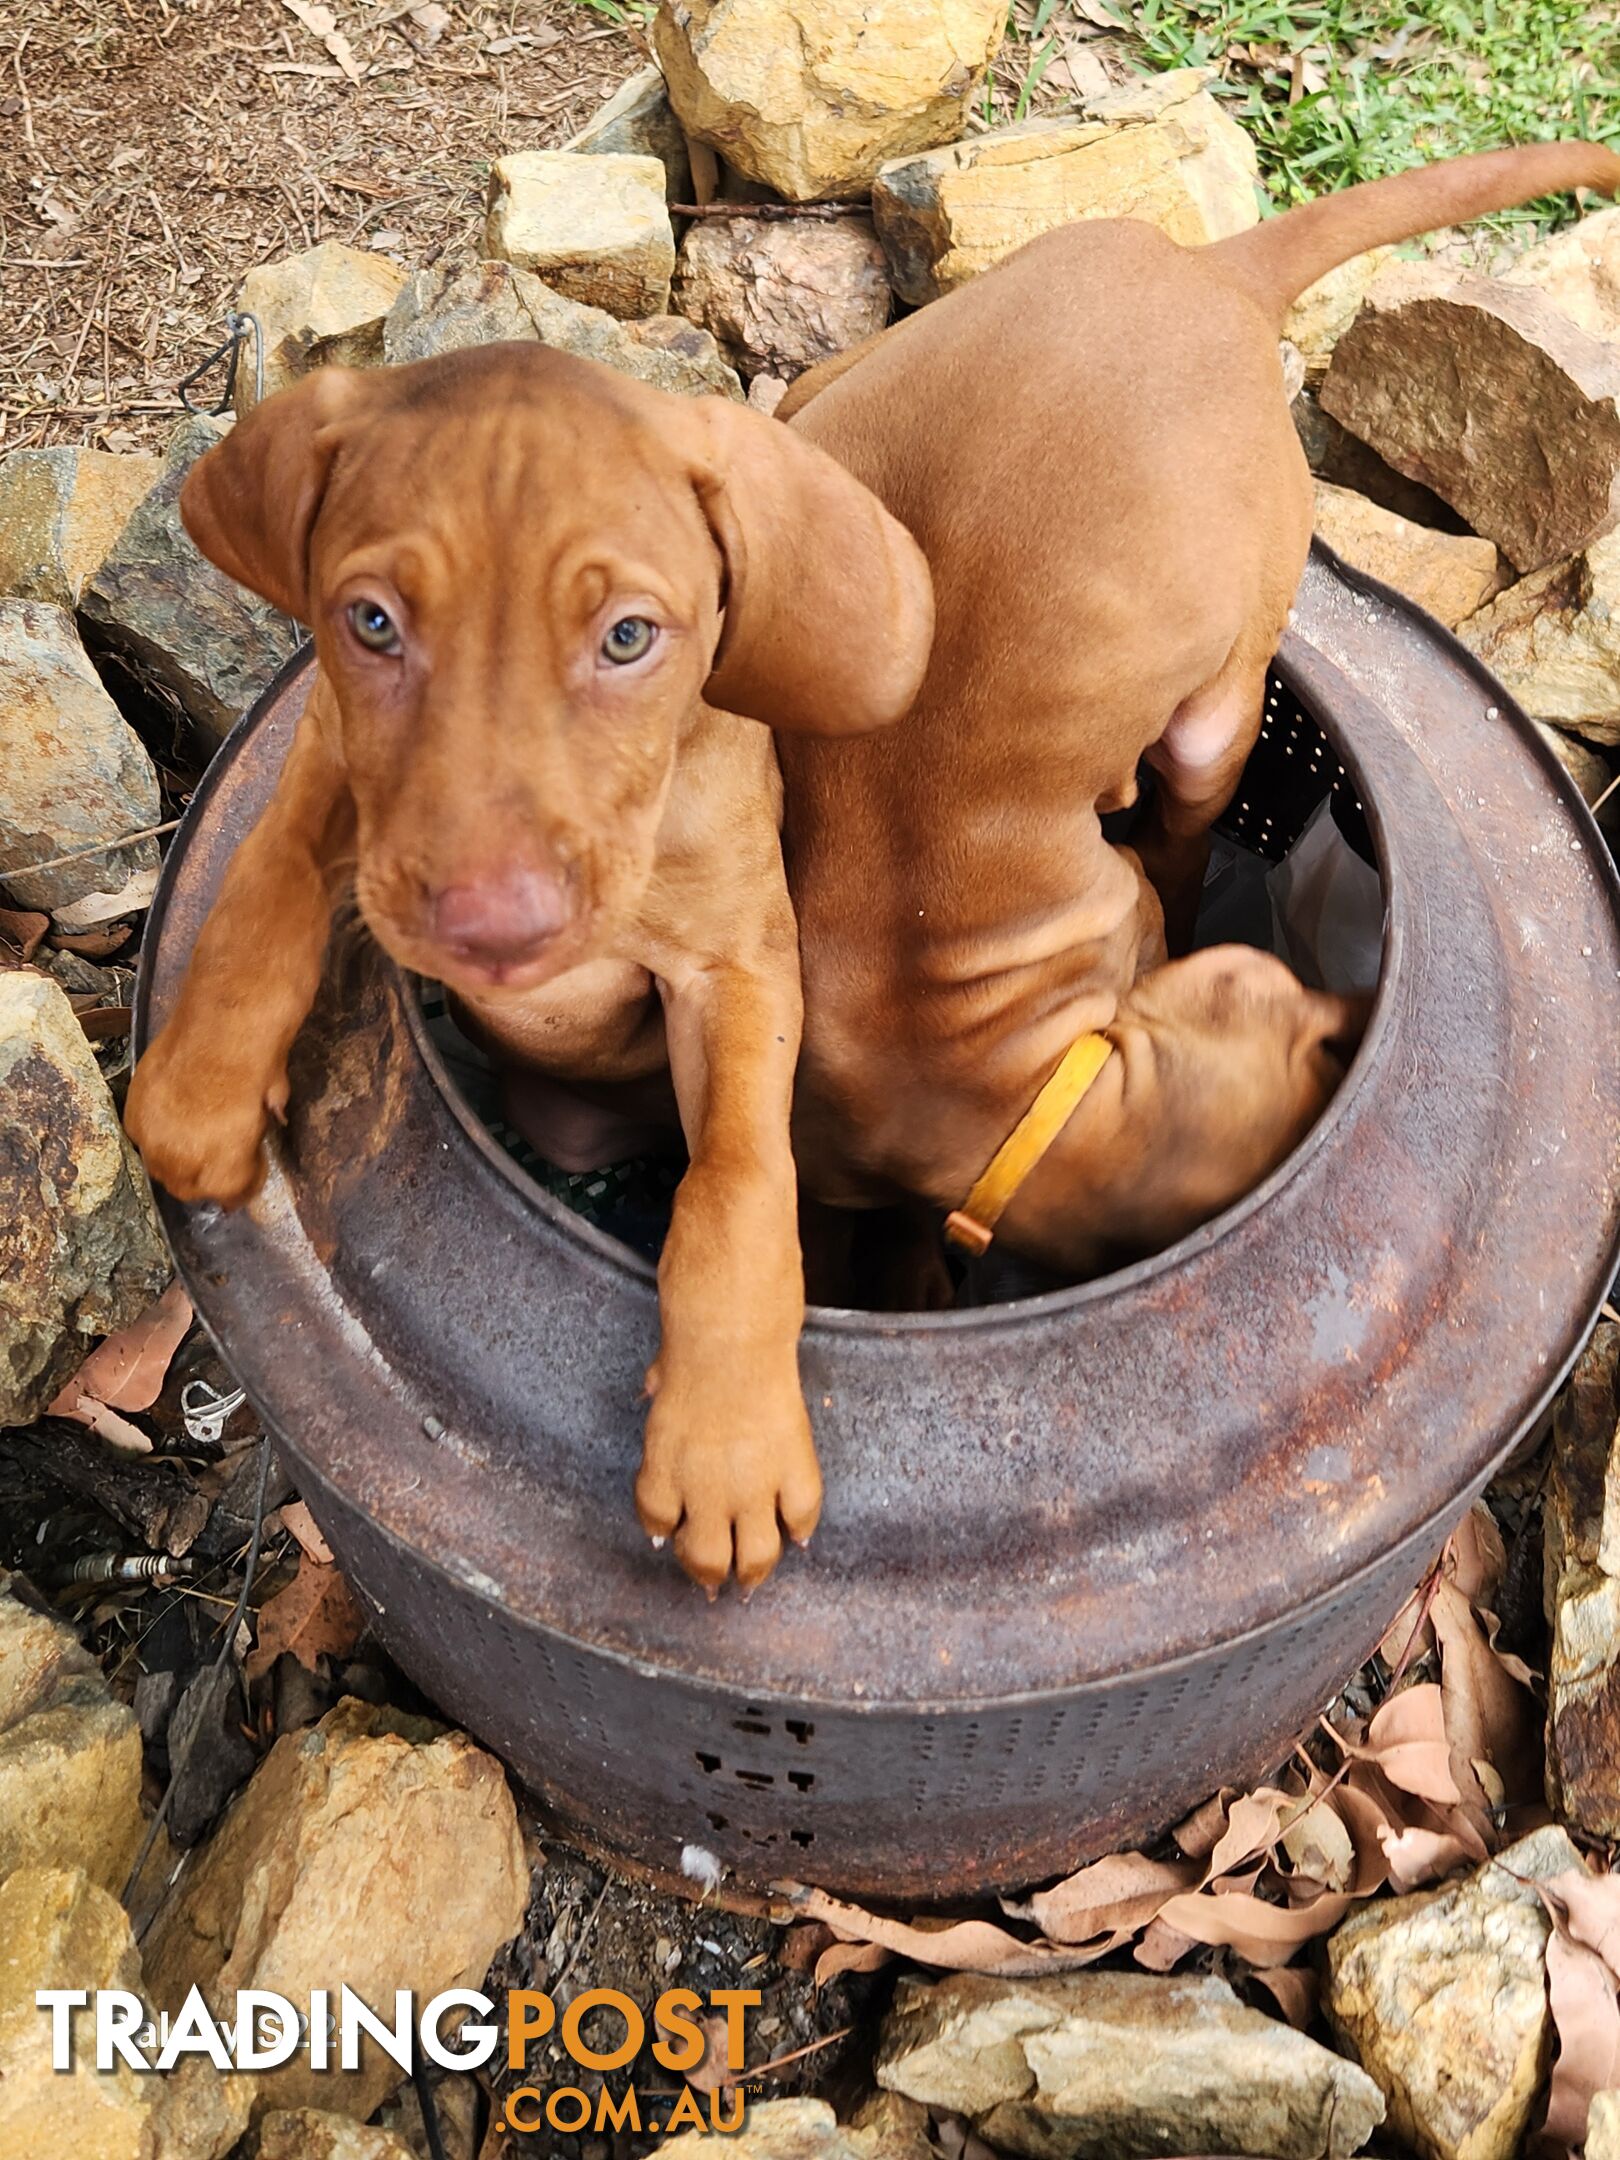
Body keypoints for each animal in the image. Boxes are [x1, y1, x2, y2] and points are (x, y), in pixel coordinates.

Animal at [123, 345, 937, 1598]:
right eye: (372, 622)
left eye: (628, 638)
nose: (493, 930)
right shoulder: (333, 761)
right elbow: (264, 890)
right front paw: (202, 1084)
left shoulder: (737, 968)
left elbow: (736, 1182)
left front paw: (728, 1440)